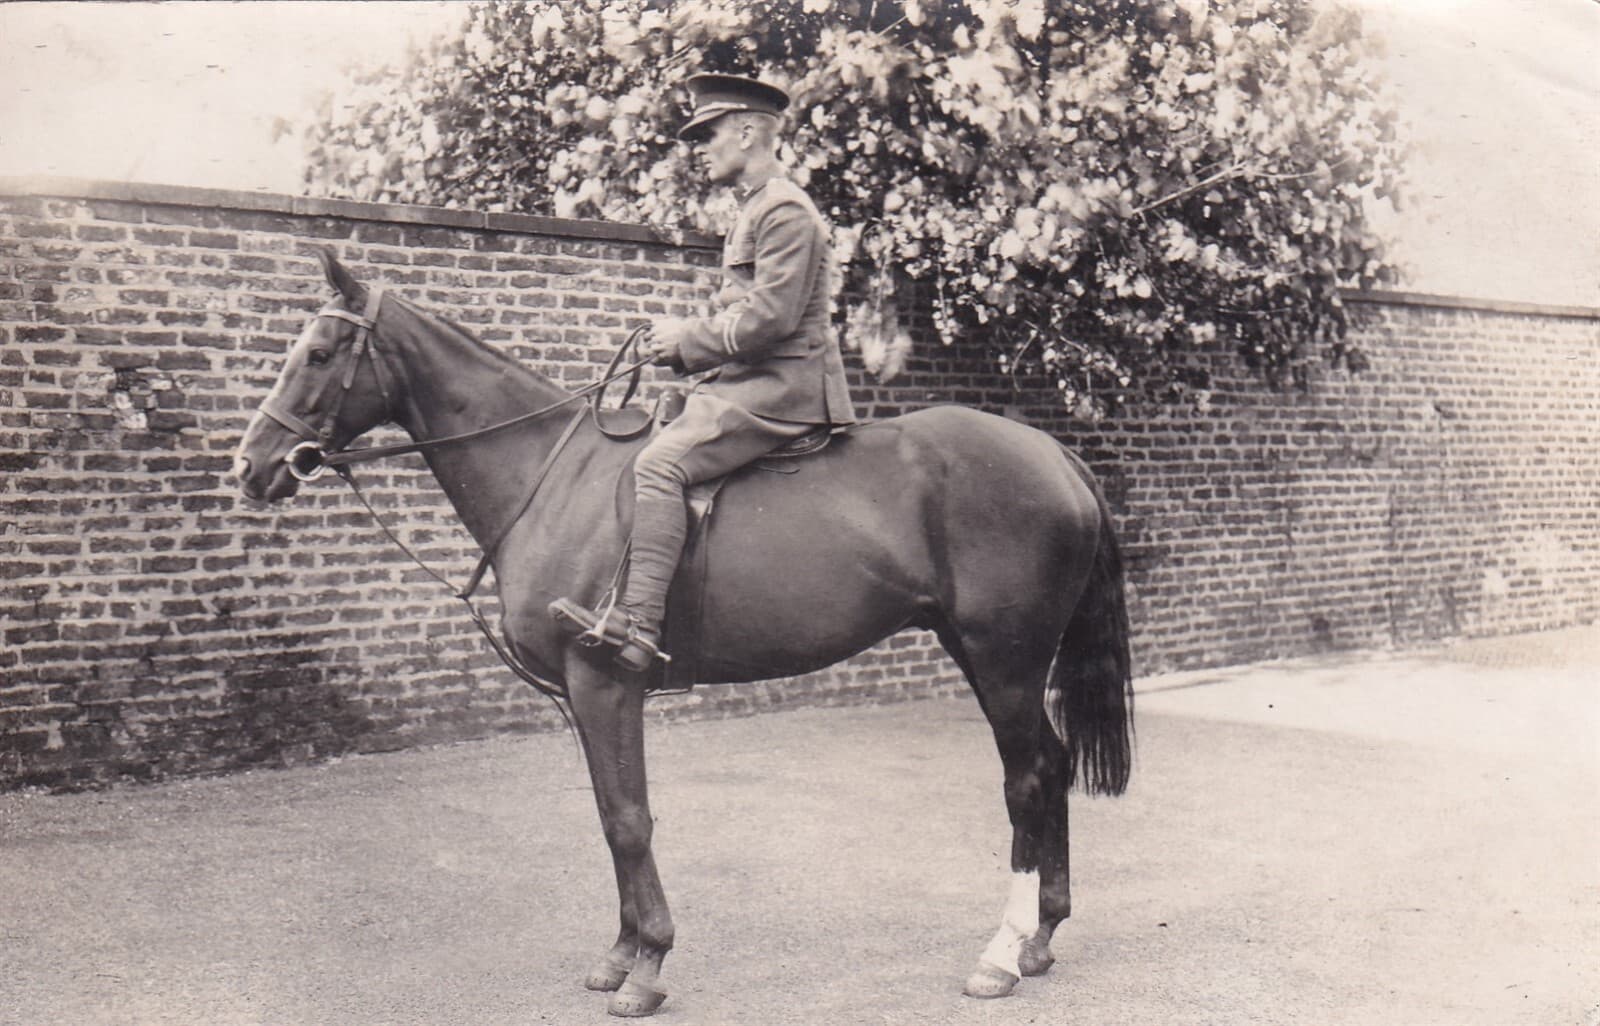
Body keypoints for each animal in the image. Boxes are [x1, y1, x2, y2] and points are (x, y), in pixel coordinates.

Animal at [233, 250, 1134, 1018]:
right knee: (1052, 766)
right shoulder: (582, 696)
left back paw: (1002, 952)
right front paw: (620, 954)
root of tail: (1056, 453)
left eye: (319, 353)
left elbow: (630, 819)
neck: (550, 475)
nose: (251, 466)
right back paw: (1042, 938)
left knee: (1027, 778)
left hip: (1003, 659)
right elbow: (610, 812)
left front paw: (650, 965)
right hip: (983, 653)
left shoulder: (604, 681)